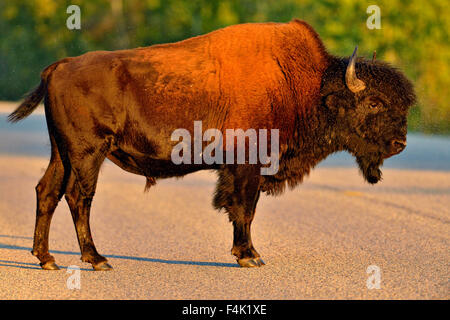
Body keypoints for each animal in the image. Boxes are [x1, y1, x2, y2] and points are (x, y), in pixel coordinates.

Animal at [7, 19, 414, 270]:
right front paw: (250, 256)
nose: (400, 144)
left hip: (62, 153)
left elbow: (239, 208)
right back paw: (96, 259)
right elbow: (245, 209)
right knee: (79, 196)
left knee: (47, 191)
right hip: (88, 152)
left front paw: (245, 253)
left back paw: (46, 258)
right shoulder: (249, 164)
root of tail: (58, 67)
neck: (306, 84)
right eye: (374, 102)